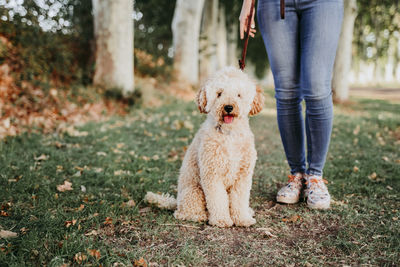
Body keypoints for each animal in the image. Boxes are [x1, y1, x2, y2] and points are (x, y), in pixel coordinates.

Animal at [145, 67, 264, 228]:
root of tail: (176, 202)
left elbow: (239, 200)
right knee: (183, 213)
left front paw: (242, 218)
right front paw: (221, 220)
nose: (228, 107)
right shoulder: (212, 174)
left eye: (239, 94)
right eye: (219, 93)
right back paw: (201, 216)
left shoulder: (242, 176)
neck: (229, 134)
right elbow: (217, 199)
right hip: (193, 192)